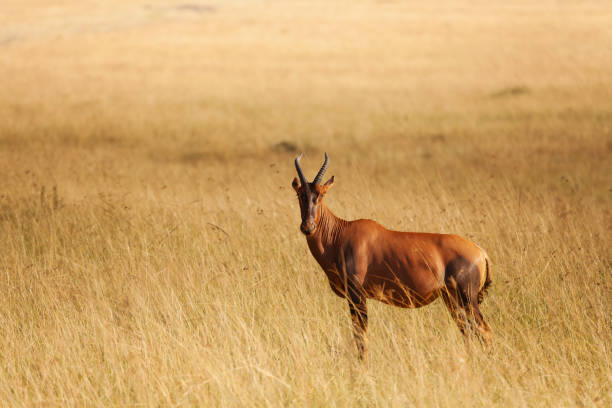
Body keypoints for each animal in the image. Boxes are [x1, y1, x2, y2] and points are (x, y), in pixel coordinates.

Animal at [292, 153, 492, 360]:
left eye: (321, 195)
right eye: (300, 194)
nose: (307, 227)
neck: (341, 234)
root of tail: (481, 252)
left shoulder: (357, 296)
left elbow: (361, 337)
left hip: (467, 299)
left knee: (484, 330)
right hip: (452, 300)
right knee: (467, 331)